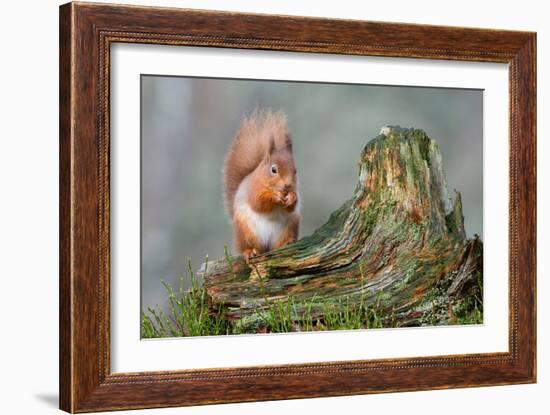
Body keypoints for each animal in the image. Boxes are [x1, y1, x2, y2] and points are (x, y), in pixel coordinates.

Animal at [224, 109, 302, 262]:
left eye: (295, 171)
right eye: (273, 170)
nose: (287, 185)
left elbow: (291, 207)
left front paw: (291, 197)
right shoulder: (253, 189)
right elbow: (259, 203)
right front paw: (275, 197)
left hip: (289, 226)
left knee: (277, 245)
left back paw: (286, 243)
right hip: (246, 231)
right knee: (251, 247)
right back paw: (249, 251)